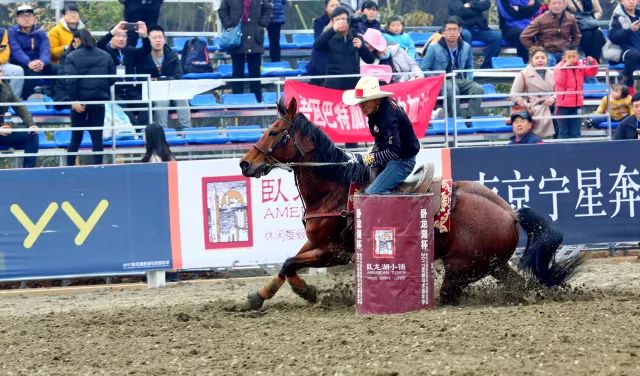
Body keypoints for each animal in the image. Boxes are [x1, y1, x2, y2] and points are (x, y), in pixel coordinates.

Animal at [239, 98, 580, 310]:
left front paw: (307, 292)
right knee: (521, 285)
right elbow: (287, 263)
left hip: (460, 269)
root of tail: (510, 213)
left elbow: (289, 263)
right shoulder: (315, 244)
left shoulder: (334, 251)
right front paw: (257, 296)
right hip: (492, 265)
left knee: (451, 295)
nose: (245, 163)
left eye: (274, 131)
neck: (334, 188)